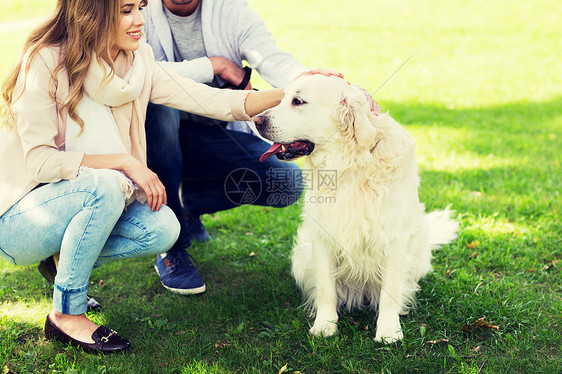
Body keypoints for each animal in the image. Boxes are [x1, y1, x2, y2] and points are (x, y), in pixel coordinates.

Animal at [252, 74, 458, 344]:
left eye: (298, 101)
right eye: (282, 98)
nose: (256, 120)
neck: (349, 167)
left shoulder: (394, 239)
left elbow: (390, 291)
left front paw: (389, 330)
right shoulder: (322, 237)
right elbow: (326, 289)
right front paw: (325, 325)